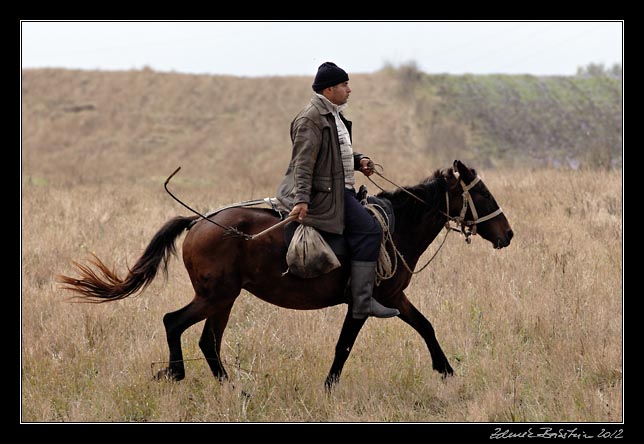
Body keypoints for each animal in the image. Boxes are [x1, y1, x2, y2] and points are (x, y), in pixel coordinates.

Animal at [60, 160, 512, 388]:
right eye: (482, 192)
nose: (507, 234)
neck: (397, 225)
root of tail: (199, 221)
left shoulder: (394, 298)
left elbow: (426, 326)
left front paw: (446, 371)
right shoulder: (366, 302)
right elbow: (344, 346)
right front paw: (329, 387)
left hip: (223, 300)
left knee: (207, 341)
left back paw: (228, 386)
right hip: (216, 297)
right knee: (175, 322)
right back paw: (178, 374)